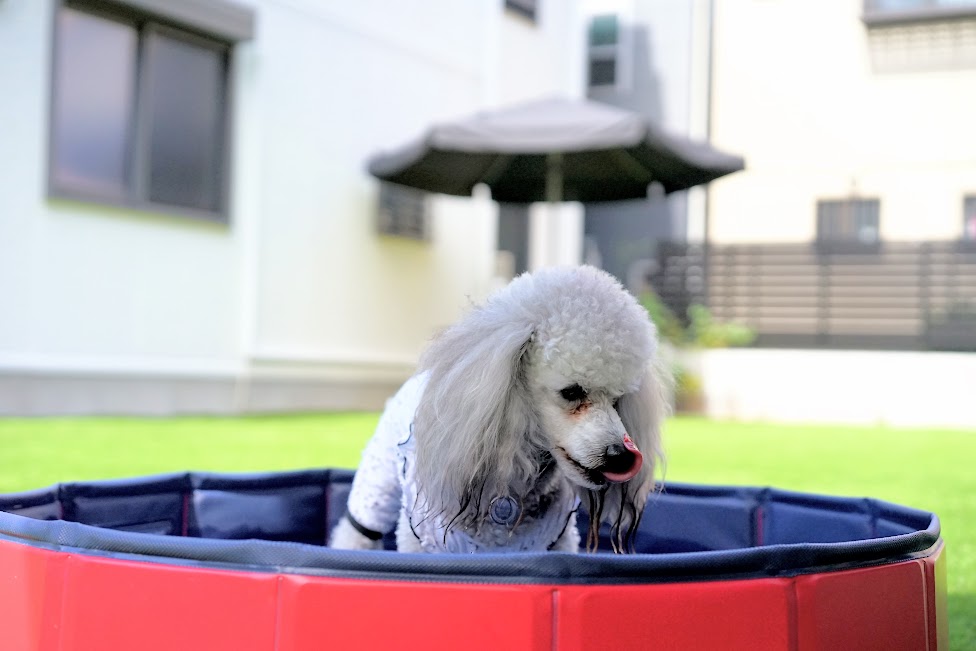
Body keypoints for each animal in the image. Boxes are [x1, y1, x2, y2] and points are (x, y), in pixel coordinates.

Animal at [332, 264, 668, 556]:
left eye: (619, 399)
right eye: (572, 392)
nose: (622, 455)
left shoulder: (557, 543)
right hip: (376, 488)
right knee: (357, 530)